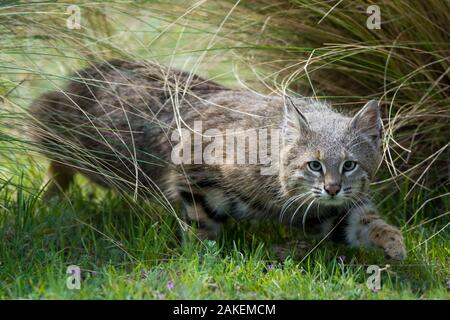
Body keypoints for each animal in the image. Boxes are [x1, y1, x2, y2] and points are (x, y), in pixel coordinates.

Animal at [28, 59, 408, 260]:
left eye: (349, 165)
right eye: (314, 165)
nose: (332, 188)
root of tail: (92, 68)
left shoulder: (331, 210)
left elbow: (369, 223)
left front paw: (395, 245)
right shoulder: (190, 170)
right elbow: (202, 224)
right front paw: (200, 261)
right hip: (85, 146)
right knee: (48, 137)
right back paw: (50, 195)